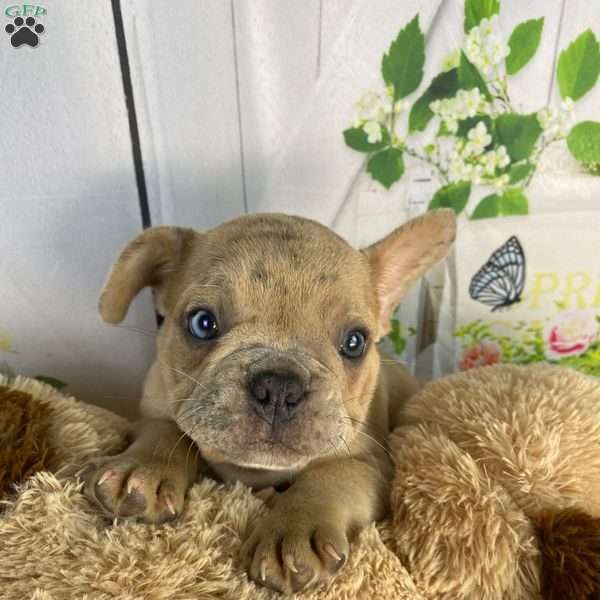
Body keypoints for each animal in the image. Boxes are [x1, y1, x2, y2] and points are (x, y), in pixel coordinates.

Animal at [82, 209, 452, 592]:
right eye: (202, 323)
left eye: (355, 342)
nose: (279, 386)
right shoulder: (152, 410)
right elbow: (165, 430)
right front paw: (144, 467)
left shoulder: (371, 460)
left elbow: (333, 475)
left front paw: (294, 530)